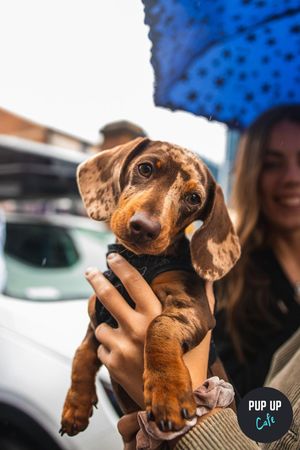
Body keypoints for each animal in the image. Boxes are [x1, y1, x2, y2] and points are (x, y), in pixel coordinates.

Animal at [59, 136, 240, 436]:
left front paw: (168, 393)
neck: (138, 260)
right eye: (145, 168)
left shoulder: (192, 305)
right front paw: (76, 406)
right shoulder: (98, 313)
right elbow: (82, 352)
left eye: (194, 198)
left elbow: (159, 327)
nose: (144, 227)